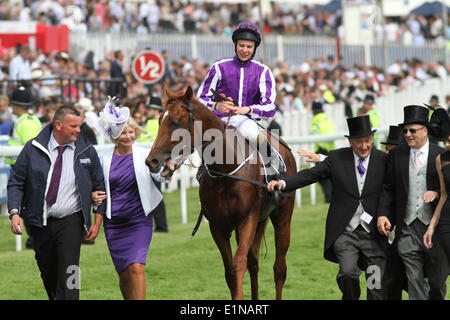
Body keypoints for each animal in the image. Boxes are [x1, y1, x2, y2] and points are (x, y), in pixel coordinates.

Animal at [146, 85, 298, 300]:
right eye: (159, 120)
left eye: (176, 122)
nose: (151, 160)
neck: (226, 170)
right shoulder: (218, 227)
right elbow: (230, 272)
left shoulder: (247, 219)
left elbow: (238, 264)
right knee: (254, 263)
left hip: (282, 218)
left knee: (279, 268)